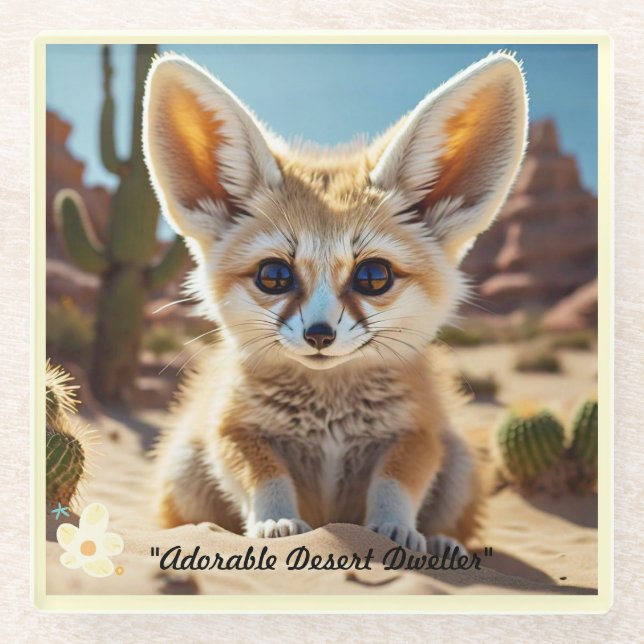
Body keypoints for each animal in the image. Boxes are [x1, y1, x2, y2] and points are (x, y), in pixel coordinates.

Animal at [142, 50, 528, 555]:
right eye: (274, 276)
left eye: (373, 277)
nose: (320, 335)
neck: (329, 416)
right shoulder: (233, 429)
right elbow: (264, 476)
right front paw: (277, 522)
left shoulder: (418, 432)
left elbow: (396, 483)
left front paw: (394, 529)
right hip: (186, 460)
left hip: (460, 461)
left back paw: (444, 542)